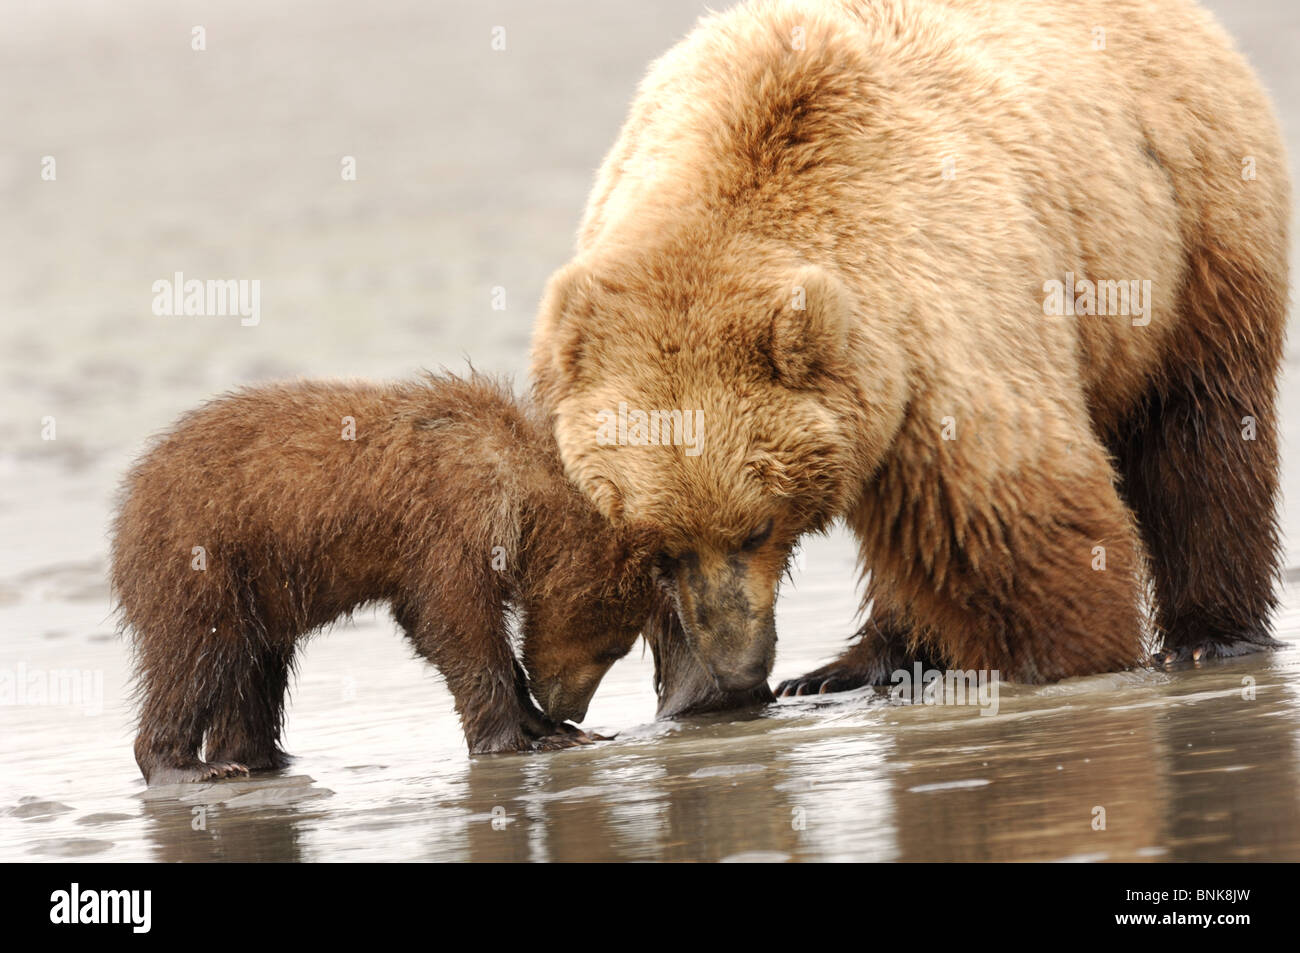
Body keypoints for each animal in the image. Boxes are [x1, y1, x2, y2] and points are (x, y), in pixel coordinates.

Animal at [111, 372, 658, 784]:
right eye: (615, 648)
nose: (576, 710)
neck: (522, 497)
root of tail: (131, 490)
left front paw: (554, 729)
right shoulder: (450, 522)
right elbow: (451, 625)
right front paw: (514, 738)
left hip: (257, 583)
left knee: (254, 669)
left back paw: (260, 757)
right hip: (202, 551)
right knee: (195, 655)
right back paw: (189, 766)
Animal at [531, 0, 1290, 698]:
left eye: (757, 528)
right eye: (662, 546)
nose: (739, 672)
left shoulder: (938, 307)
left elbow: (1014, 510)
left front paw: (1066, 657)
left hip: (1186, 227)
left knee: (1200, 429)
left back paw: (1209, 635)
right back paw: (856, 664)